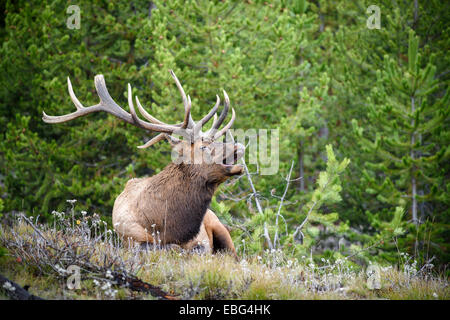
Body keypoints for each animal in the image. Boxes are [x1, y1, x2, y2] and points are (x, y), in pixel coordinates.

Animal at [42, 69, 244, 258]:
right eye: (203, 147)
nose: (239, 147)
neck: (167, 226)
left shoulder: (199, 240)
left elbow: (195, 249)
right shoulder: (131, 237)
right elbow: (167, 248)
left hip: (219, 227)